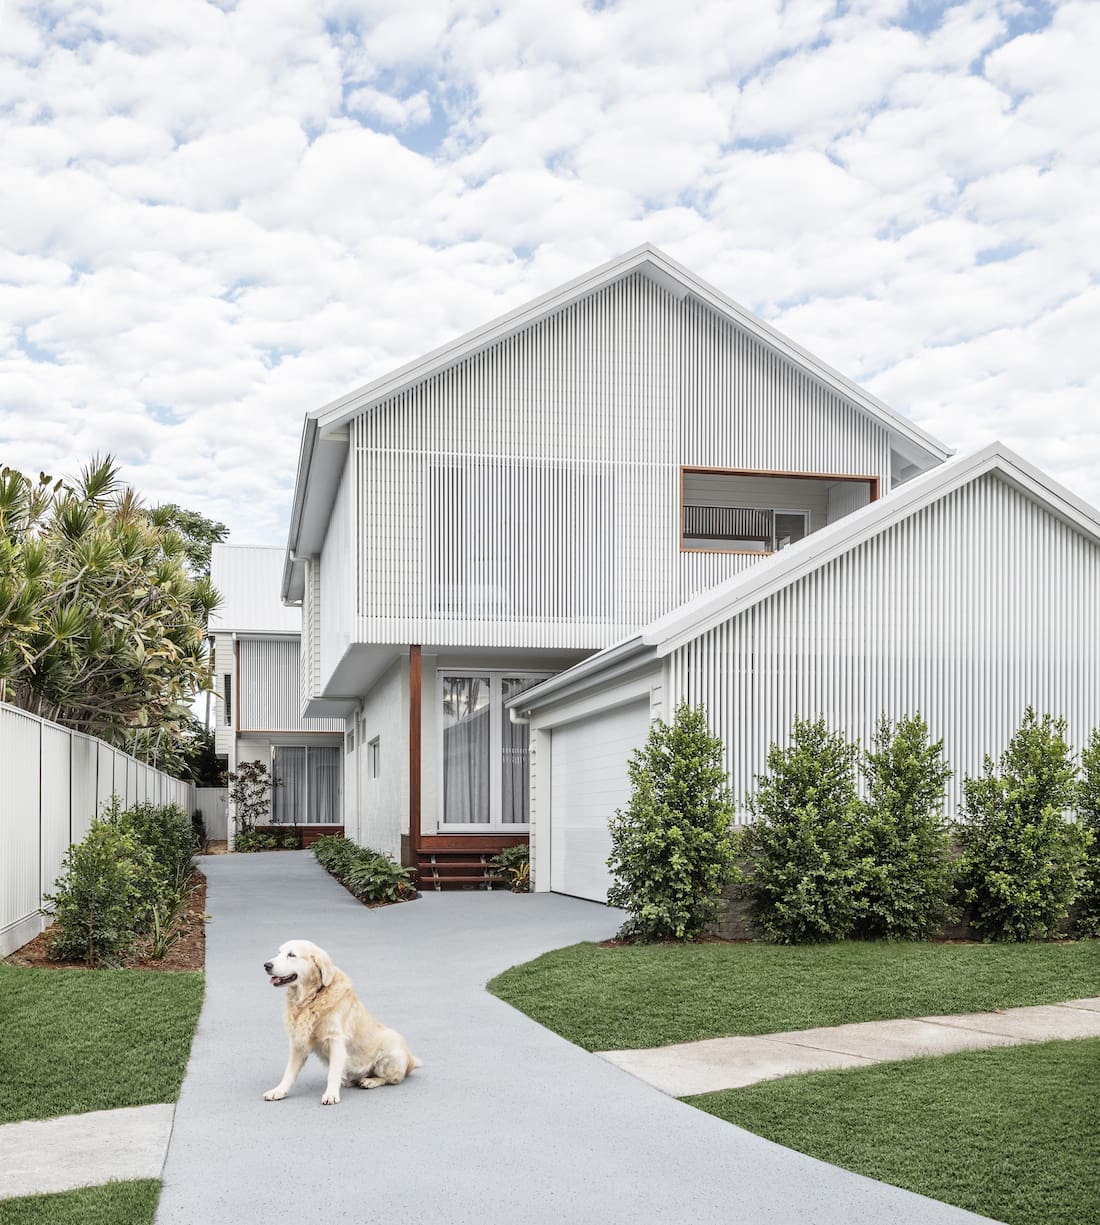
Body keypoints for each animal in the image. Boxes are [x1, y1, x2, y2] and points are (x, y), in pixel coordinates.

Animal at [262, 940, 421, 1107]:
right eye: (279, 953)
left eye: (291, 955)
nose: (266, 965)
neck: (311, 998)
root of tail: (410, 1061)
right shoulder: (298, 1043)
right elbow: (289, 1073)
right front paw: (278, 1091)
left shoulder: (335, 1040)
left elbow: (333, 1073)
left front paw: (331, 1094)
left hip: (391, 1047)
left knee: (392, 1079)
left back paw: (370, 1081)